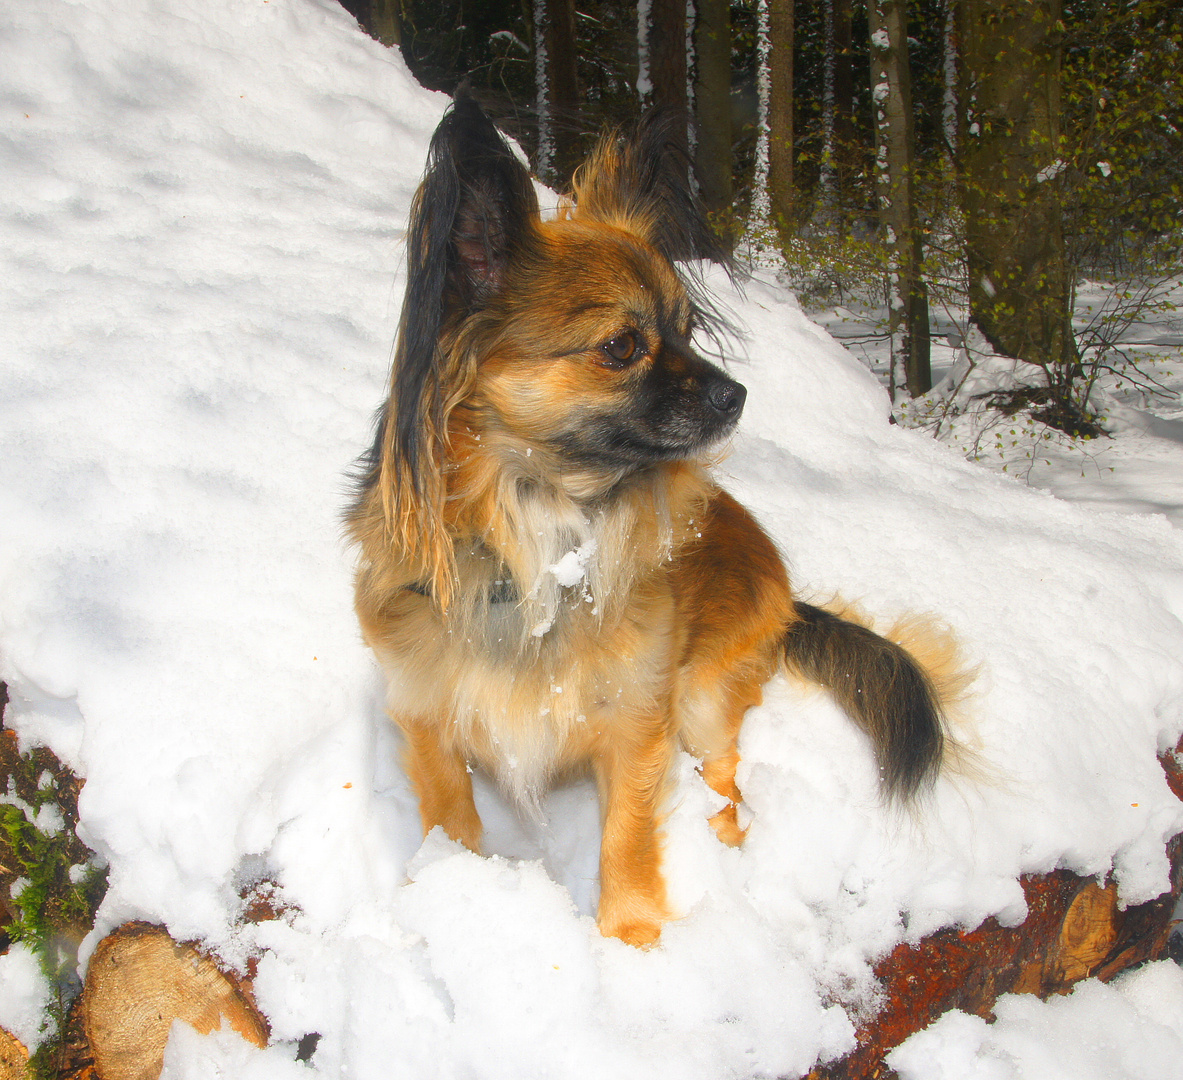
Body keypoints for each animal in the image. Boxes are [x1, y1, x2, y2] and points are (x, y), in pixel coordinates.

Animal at [345, 94, 955, 946]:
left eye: (687, 332)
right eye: (621, 345)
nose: (736, 395)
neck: (540, 533)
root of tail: (786, 592)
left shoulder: (637, 720)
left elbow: (626, 838)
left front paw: (629, 941)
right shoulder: (427, 712)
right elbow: (450, 818)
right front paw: (450, 894)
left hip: (702, 698)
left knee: (727, 782)